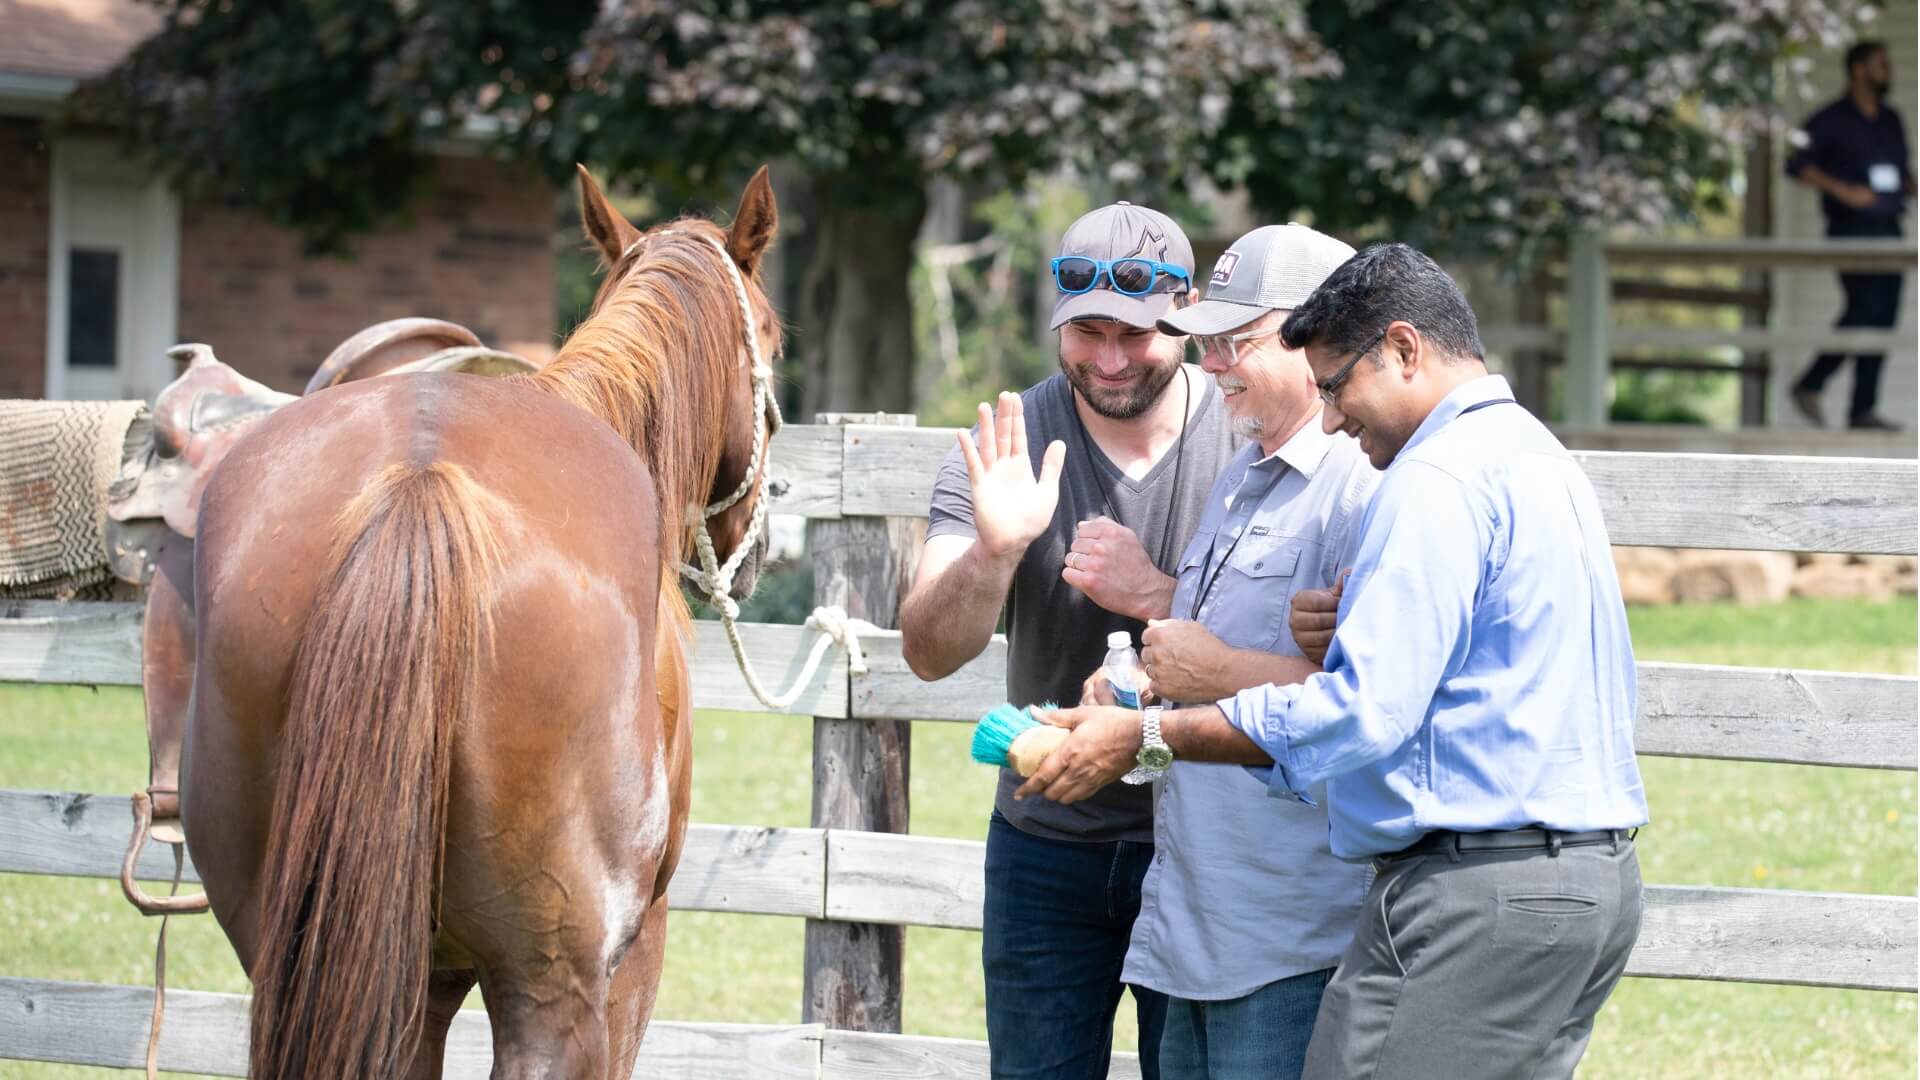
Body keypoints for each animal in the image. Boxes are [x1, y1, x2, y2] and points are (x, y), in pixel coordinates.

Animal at [178, 164, 783, 1079]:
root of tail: (417, 484)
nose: (758, 548)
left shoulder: (422, 981)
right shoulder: (634, 958)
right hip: (551, 984)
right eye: (775, 342)